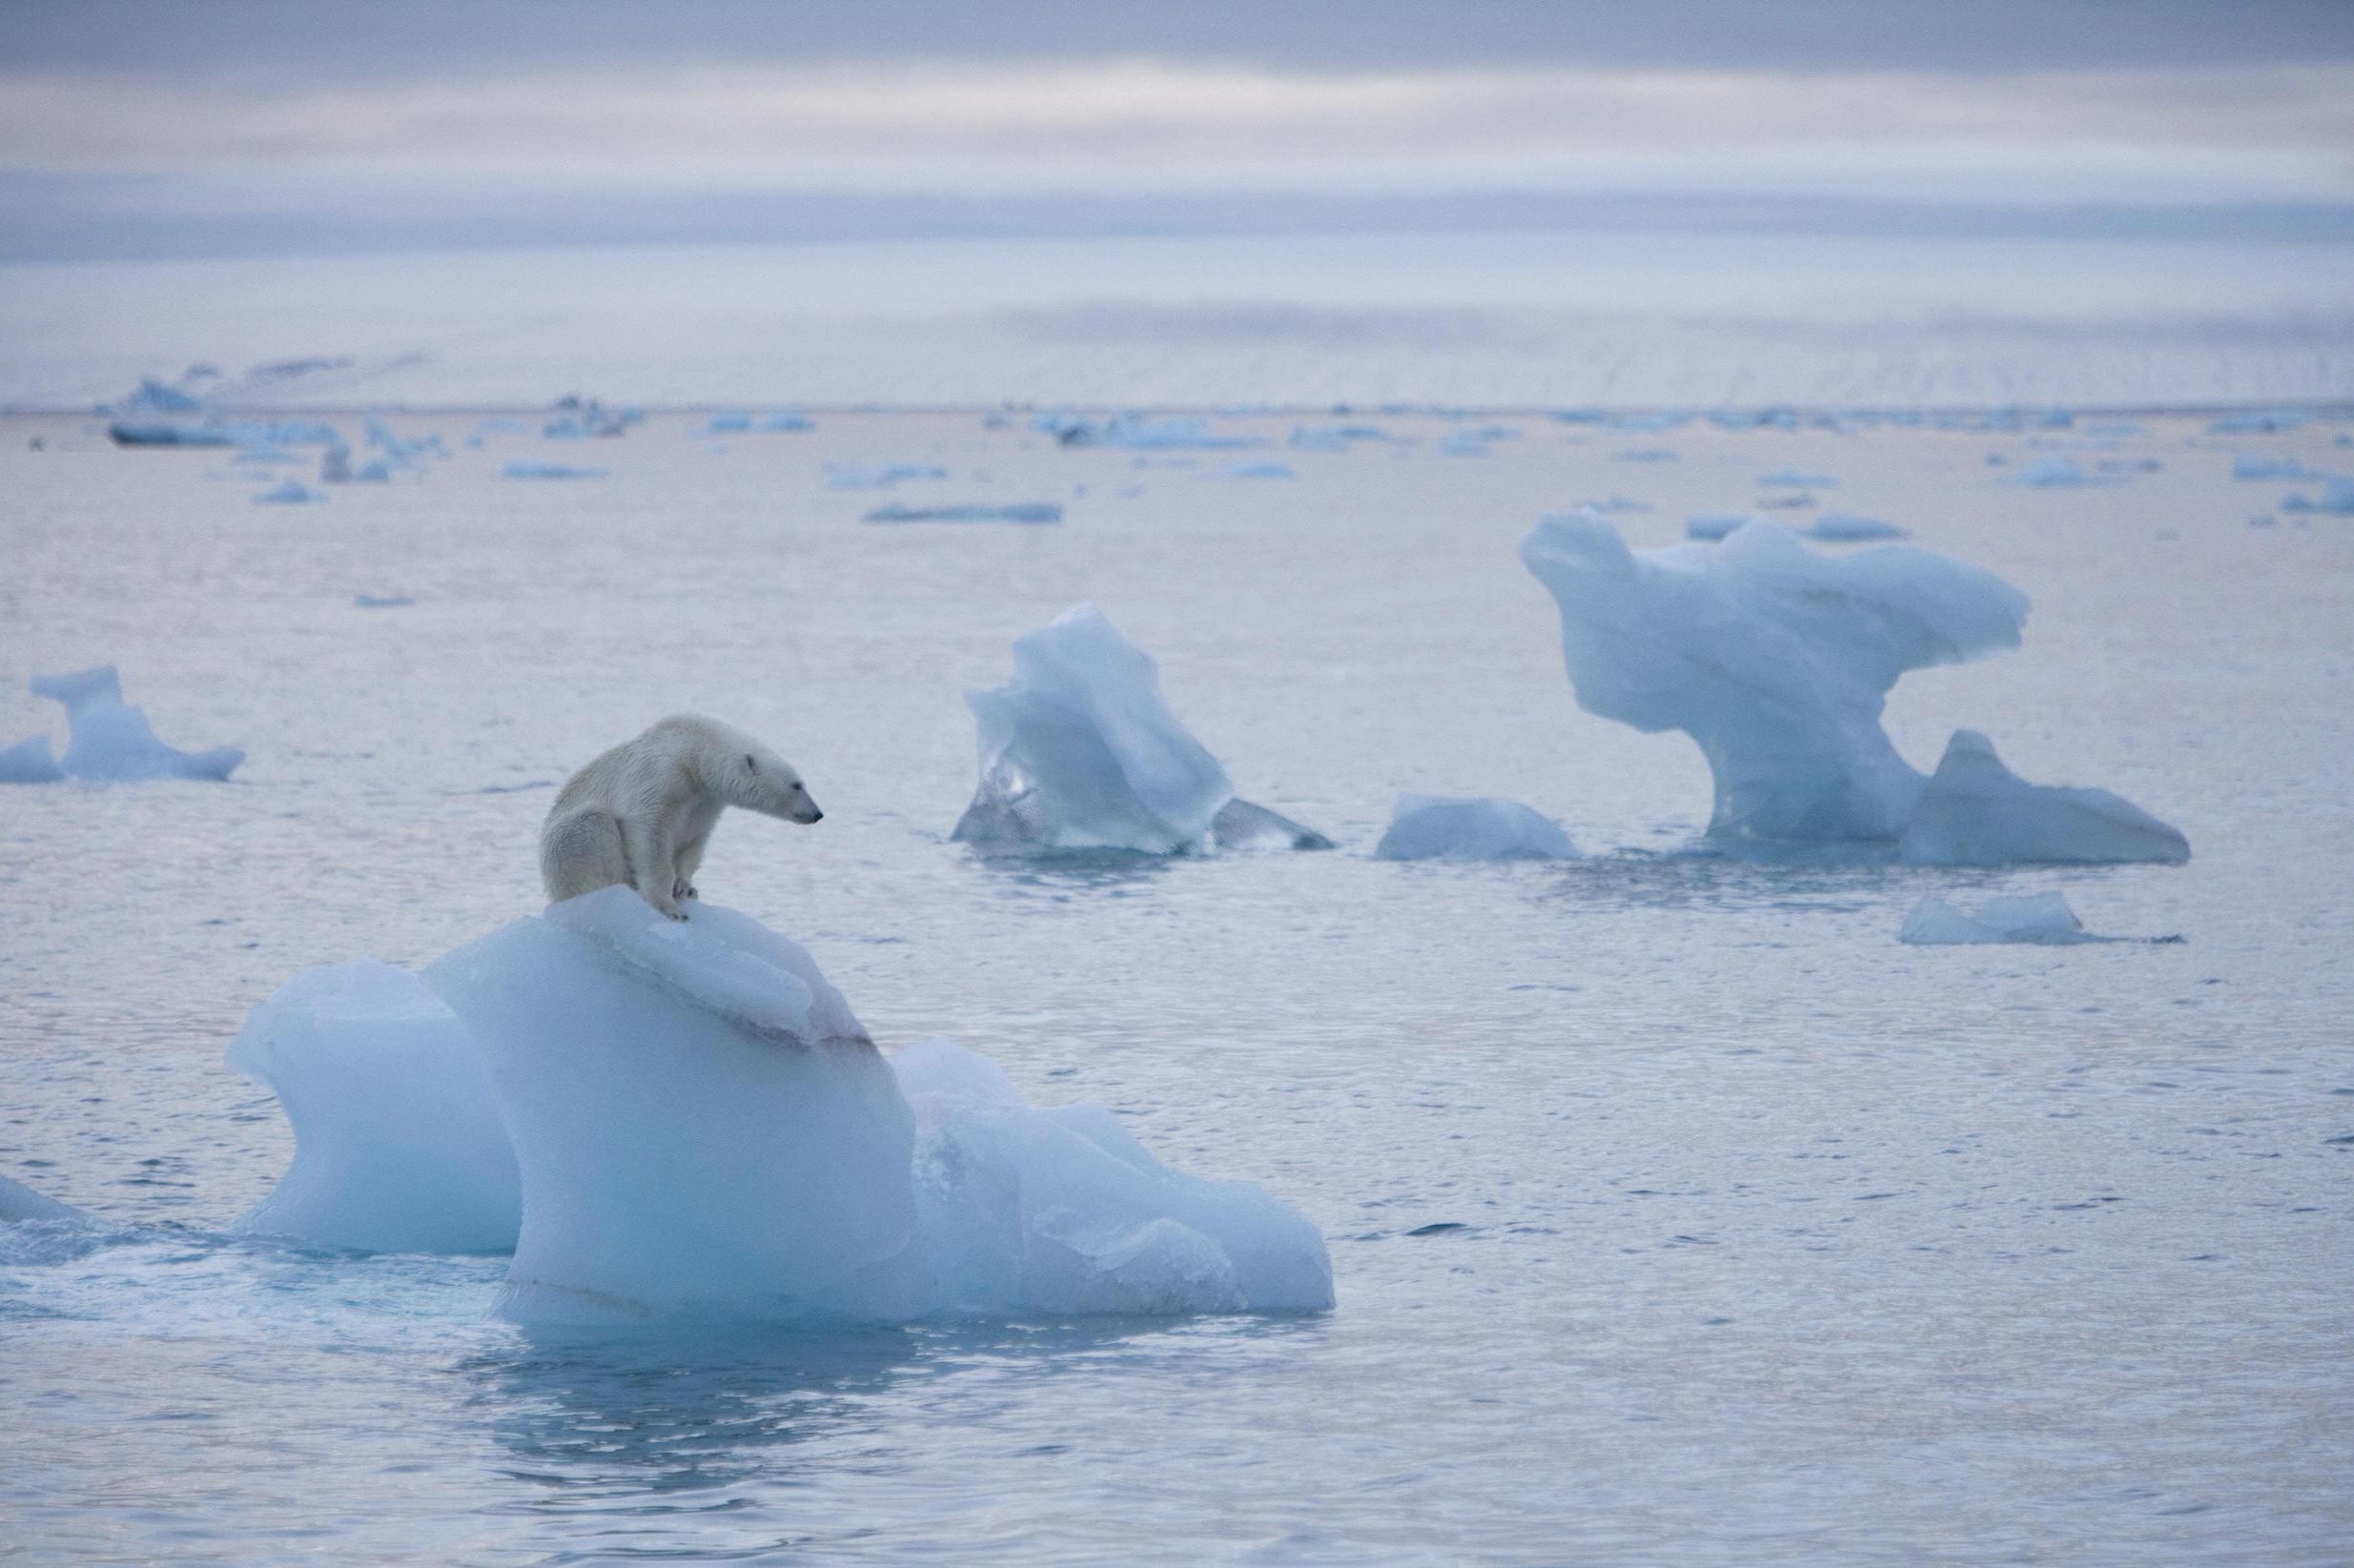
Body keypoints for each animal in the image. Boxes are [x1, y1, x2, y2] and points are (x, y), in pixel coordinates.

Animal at [543, 710, 829, 918]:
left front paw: (685, 887)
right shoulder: (658, 777)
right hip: (565, 852)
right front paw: (669, 908)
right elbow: (648, 833)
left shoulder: (705, 800)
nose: (817, 814)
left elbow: (694, 839)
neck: (694, 752)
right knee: (591, 826)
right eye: (796, 785)